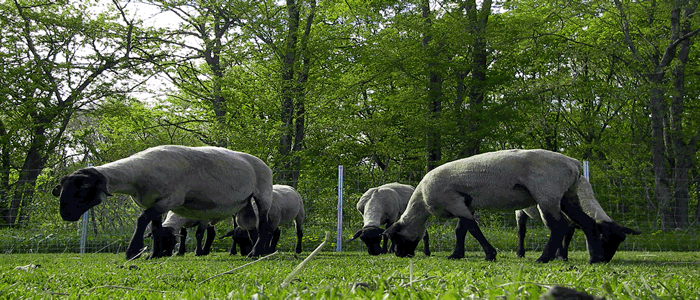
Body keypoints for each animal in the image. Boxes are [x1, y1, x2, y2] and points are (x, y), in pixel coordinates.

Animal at [51, 145, 276, 260]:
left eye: (84, 189)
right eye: (62, 190)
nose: (65, 215)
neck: (139, 173)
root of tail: (263, 163)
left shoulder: (171, 198)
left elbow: (141, 220)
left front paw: (133, 252)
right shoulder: (156, 203)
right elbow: (156, 228)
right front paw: (154, 254)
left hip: (263, 194)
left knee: (264, 225)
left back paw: (256, 252)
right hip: (244, 205)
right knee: (251, 227)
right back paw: (256, 251)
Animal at [382, 149, 640, 264]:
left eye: (395, 237)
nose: (399, 254)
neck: (422, 203)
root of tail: (574, 164)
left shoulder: (453, 201)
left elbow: (472, 229)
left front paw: (490, 254)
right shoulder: (464, 203)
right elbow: (461, 230)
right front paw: (456, 254)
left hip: (546, 193)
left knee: (558, 227)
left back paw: (543, 258)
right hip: (567, 195)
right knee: (585, 223)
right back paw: (595, 258)